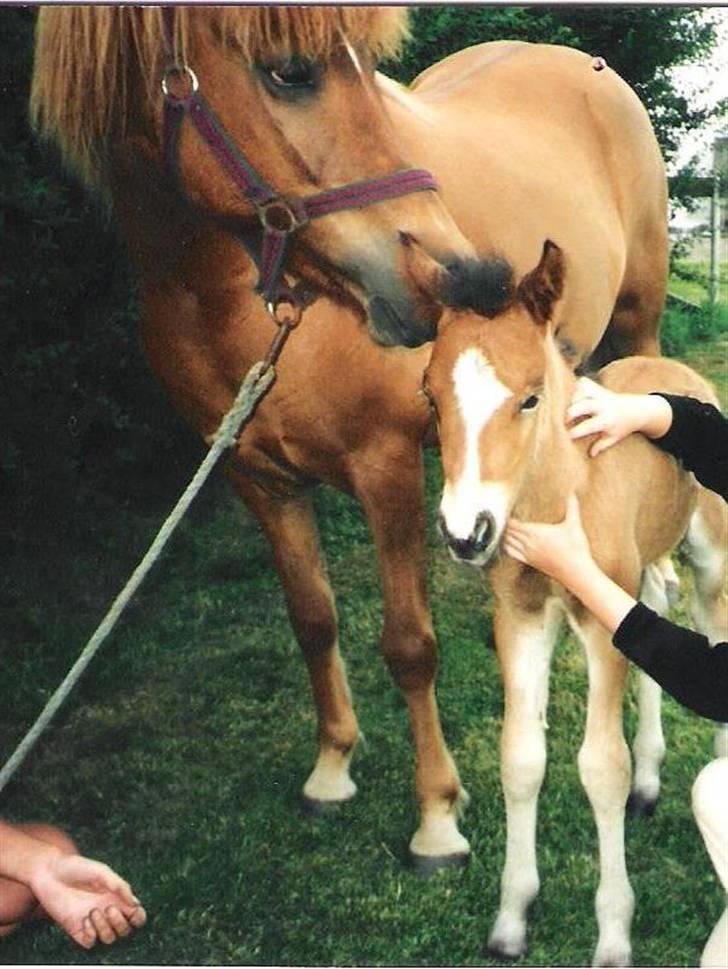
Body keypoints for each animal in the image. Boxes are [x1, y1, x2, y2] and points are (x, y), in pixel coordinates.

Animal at [34, 5, 668, 868]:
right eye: (291, 71)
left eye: (368, 68)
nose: (467, 279)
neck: (242, 301)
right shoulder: (256, 475)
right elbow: (313, 617)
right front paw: (332, 768)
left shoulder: (386, 466)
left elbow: (408, 644)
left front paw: (437, 815)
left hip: (637, 328)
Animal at [420, 238, 728, 964]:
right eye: (430, 397)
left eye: (531, 398)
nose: (465, 532)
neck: (558, 492)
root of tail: (674, 366)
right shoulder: (521, 618)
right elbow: (520, 757)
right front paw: (511, 915)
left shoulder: (599, 619)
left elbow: (601, 766)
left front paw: (614, 932)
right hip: (642, 570)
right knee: (659, 604)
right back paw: (651, 779)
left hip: (707, 550)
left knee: (708, 616)